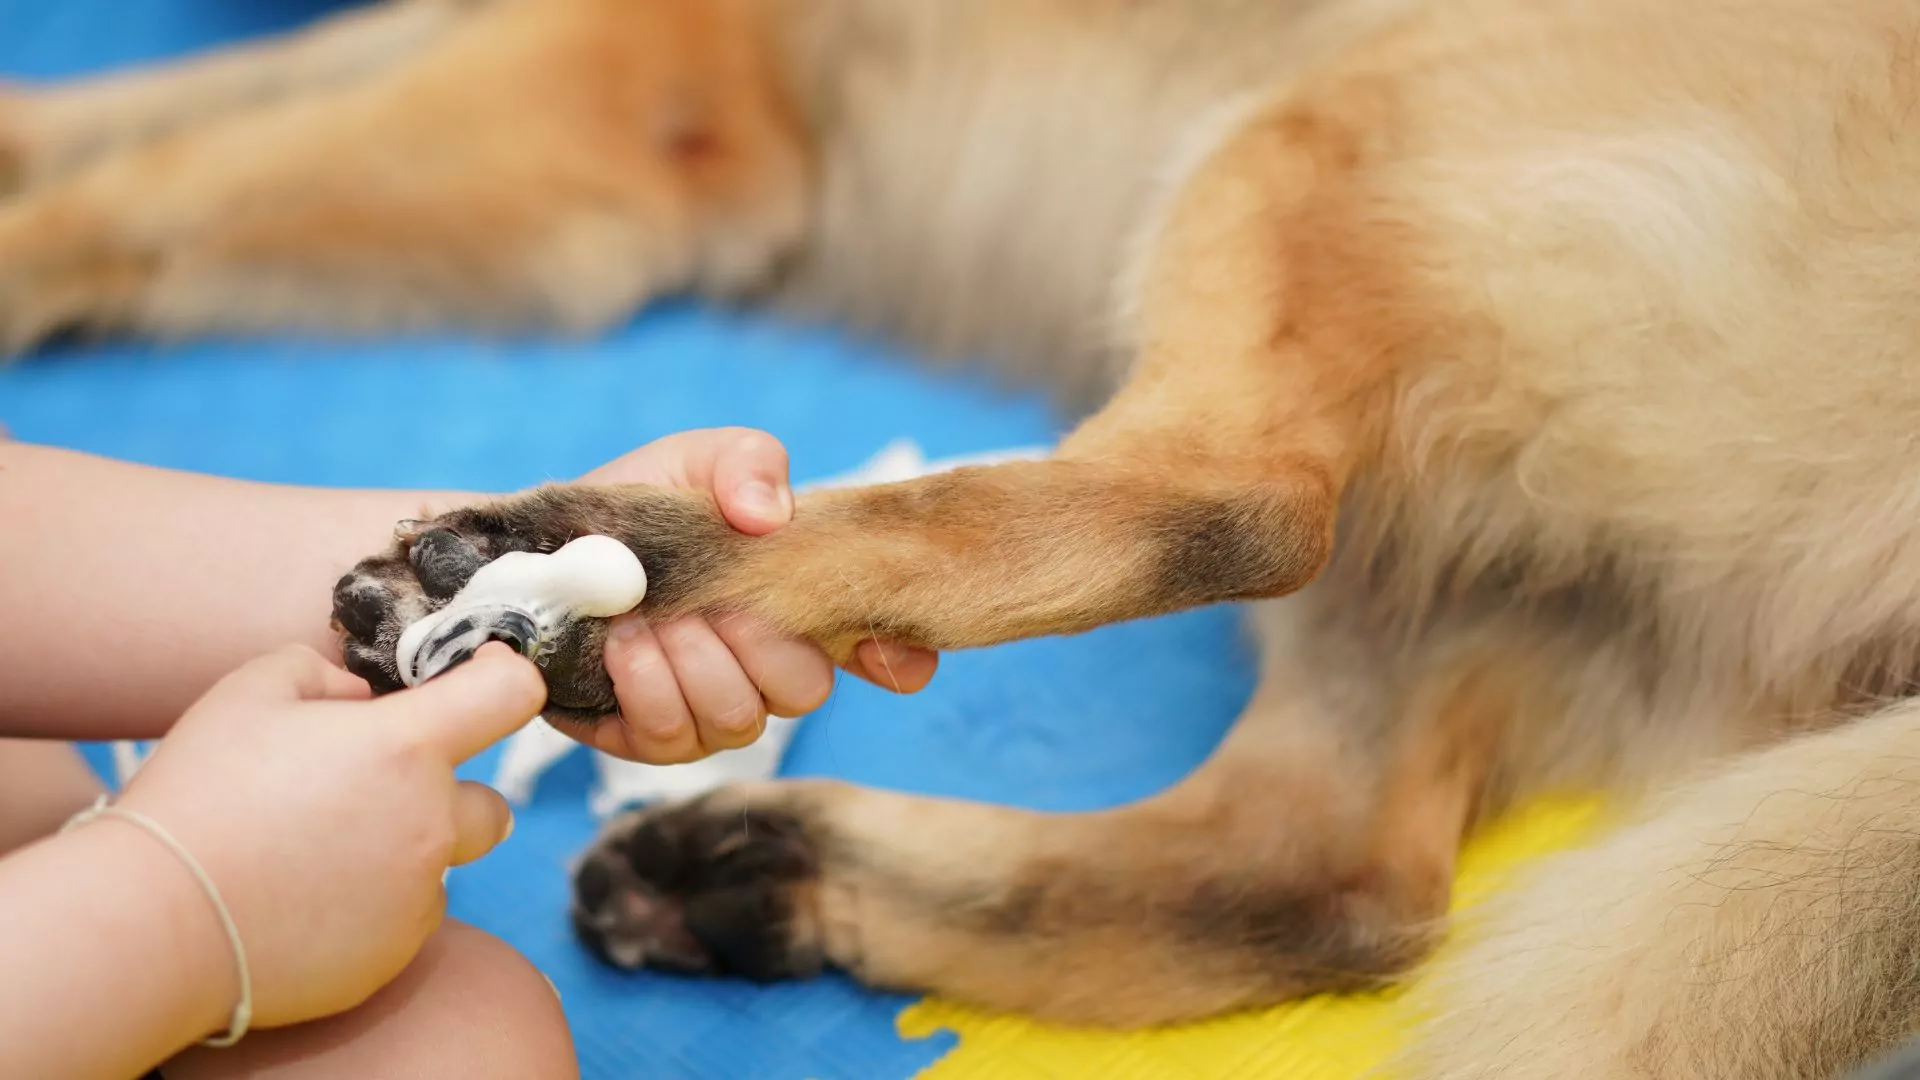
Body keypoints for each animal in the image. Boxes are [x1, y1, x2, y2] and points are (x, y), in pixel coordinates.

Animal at [3, 4, 1920, 1068]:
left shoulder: (625, 70)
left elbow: (161, 180)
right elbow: (170, 107)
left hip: (1316, 134)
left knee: (1230, 501)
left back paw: (600, 580)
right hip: (1447, 549)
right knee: (1326, 883)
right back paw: (763, 872)